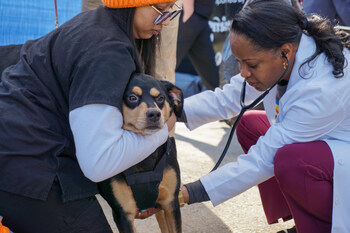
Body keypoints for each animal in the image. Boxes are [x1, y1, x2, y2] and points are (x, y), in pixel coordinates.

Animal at [98, 73, 185, 233]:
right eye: (132, 97)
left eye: (160, 98)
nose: (154, 114)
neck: (144, 156)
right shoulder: (123, 214)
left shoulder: (170, 203)